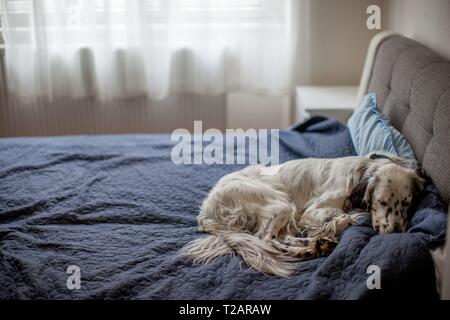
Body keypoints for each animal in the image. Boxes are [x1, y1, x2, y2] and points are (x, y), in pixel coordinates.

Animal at [182, 154, 426, 276]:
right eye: (382, 201)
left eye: (407, 203)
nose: (395, 232)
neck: (360, 171)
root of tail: (206, 210)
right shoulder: (311, 212)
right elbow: (344, 218)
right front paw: (336, 225)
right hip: (281, 203)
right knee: (267, 240)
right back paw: (310, 248)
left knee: (280, 238)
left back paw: (314, 247)